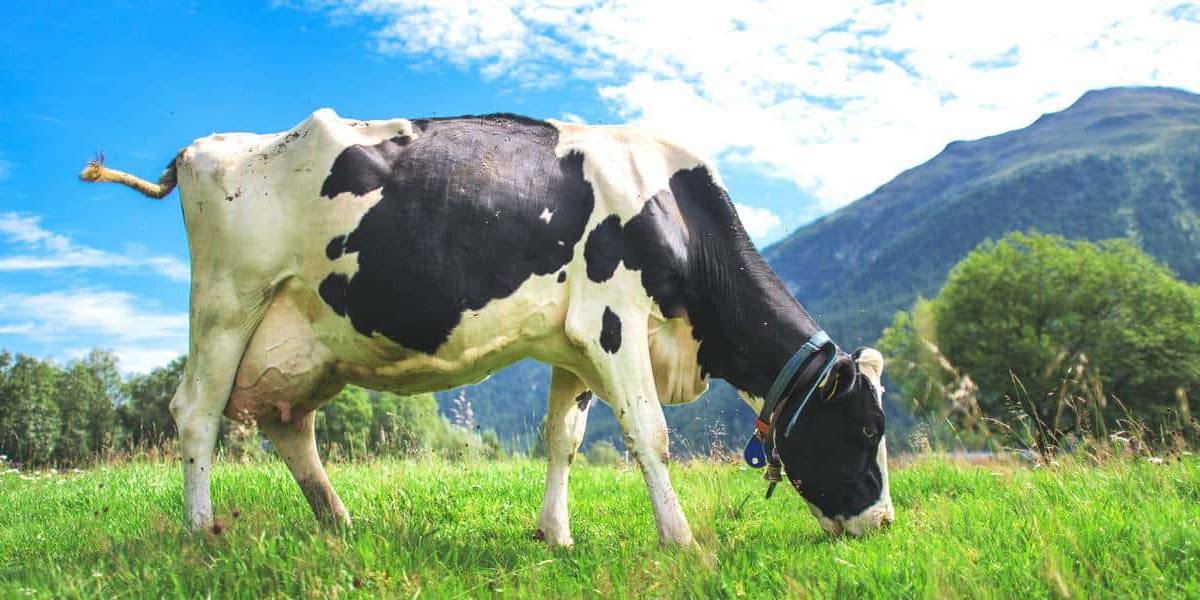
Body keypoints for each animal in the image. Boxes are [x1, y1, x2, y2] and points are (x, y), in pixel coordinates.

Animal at [79, 109, 894, 544]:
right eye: (864, 431)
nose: (884, 522)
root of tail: (204, 147)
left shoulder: (574, 343)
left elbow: (564, 438)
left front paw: (555, 534)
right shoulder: (613, 317)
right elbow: (650, 434)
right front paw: (682, 539)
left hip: (302, 341)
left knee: (289, 426)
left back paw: (339, 520)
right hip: (228, 302)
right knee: (196, 411)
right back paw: (202, 532)